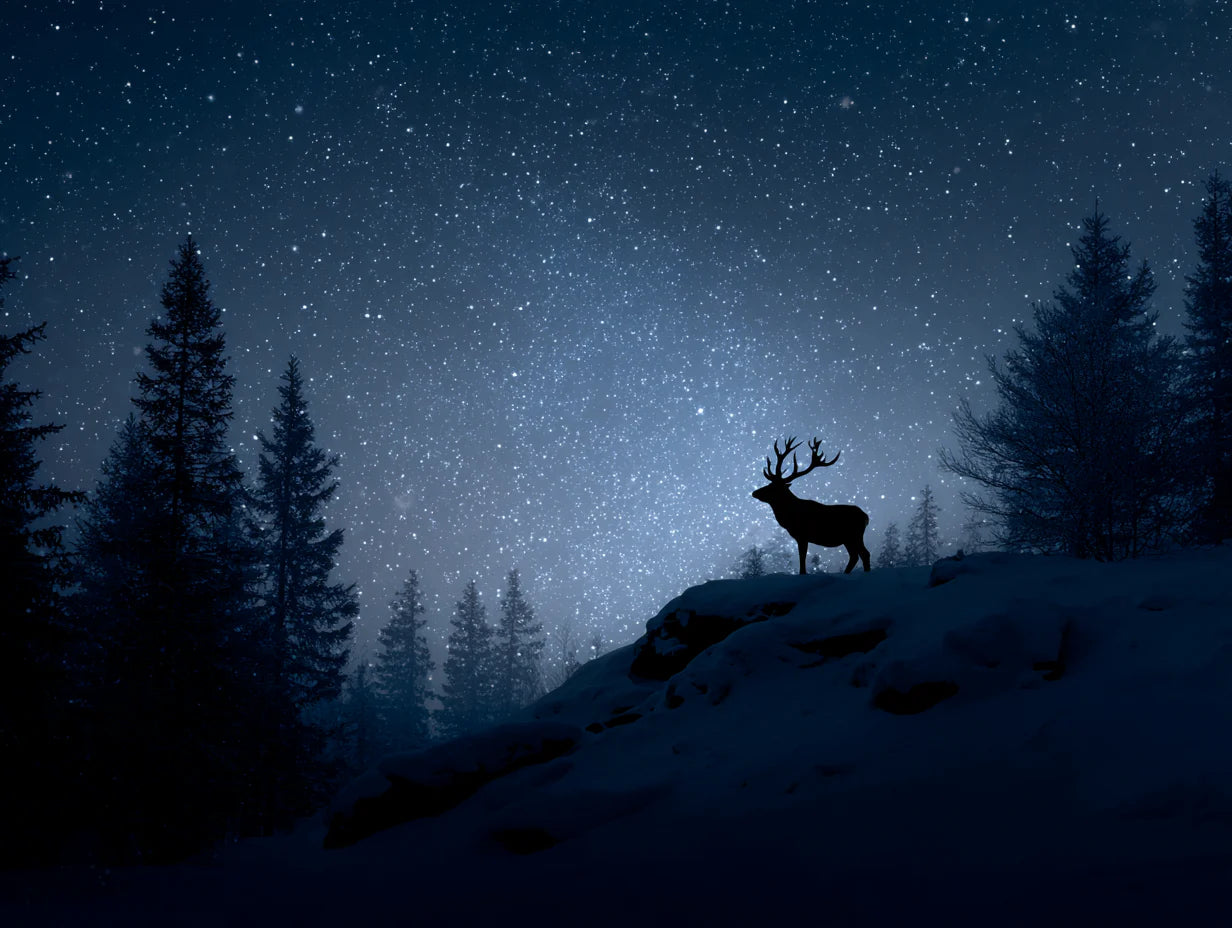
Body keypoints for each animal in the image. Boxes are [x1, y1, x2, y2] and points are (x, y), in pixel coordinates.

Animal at [752, 436, 871, 574]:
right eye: (769, 484)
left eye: (773, 487)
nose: (754, 492)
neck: (789, 516)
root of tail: (866, 517)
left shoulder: (802, 535)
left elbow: (802, 559)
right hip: (848, 539)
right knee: (855, 556)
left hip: (854, 535)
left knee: (864, 554)